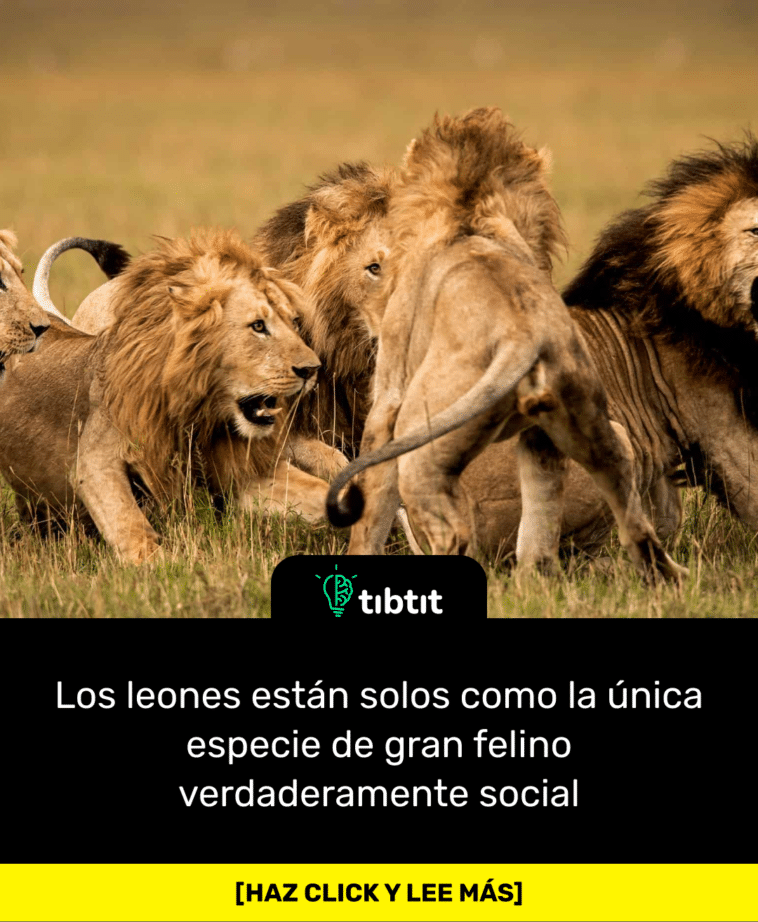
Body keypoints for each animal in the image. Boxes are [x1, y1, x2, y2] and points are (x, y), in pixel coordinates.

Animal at [324, 108, 685, 580]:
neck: (469, 214)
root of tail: (521, 335)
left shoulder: (387, 399)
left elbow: (370, 509)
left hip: (421, 442)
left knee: (451, 531)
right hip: (593, 428)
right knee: (610, 511)